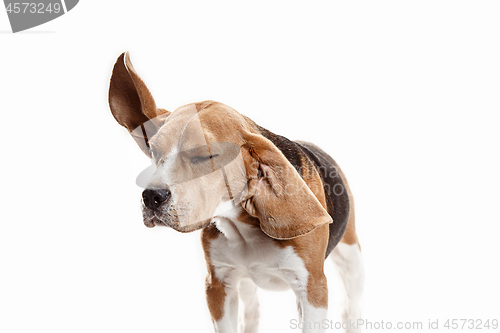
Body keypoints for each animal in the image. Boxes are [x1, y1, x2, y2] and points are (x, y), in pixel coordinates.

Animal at [107, 52, 364, 332]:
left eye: (205, 155)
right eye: (154, 151)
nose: (151, 197)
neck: (241, 226)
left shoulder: (312, 288)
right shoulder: (218, 284)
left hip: (351, 259)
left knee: (351, 307)